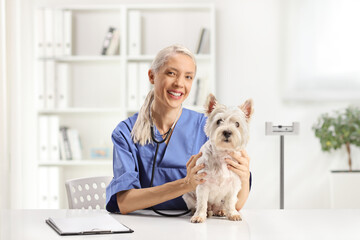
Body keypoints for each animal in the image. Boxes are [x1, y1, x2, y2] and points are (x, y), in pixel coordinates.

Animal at [183, 94, 253, 223]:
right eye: (219, 121)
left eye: (237, 124)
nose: (227, 132)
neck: (222, 154)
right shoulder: (202, 184)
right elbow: (202, 203)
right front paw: (199, 216)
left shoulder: (234, 185)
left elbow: (230, 202)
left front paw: (233, 214)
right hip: (187, 195)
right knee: (198, 204)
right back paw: (203, 212)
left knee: (222, 205)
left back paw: (220, 211)